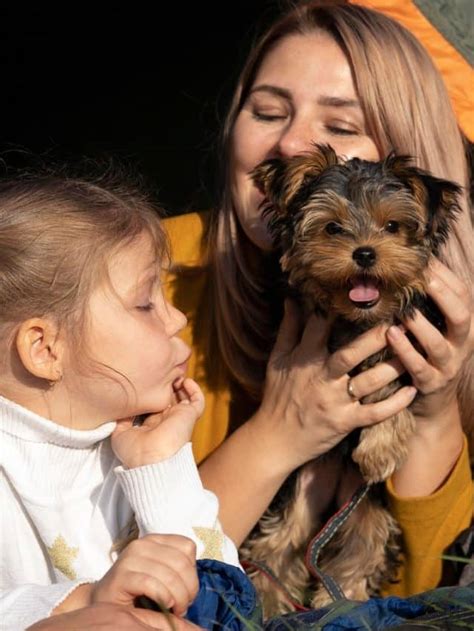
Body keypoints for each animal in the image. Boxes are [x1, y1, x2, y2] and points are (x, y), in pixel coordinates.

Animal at [239, 144, 462, 616]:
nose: (364, 253)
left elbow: (394, 383)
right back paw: (268, 602)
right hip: (298, 493)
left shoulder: (414, 338)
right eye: (333, 227)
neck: (361, 318)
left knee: (362, 549)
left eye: (393, 226)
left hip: (370, 509)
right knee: (276, 546)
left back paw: (343, 603)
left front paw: (378, 452)